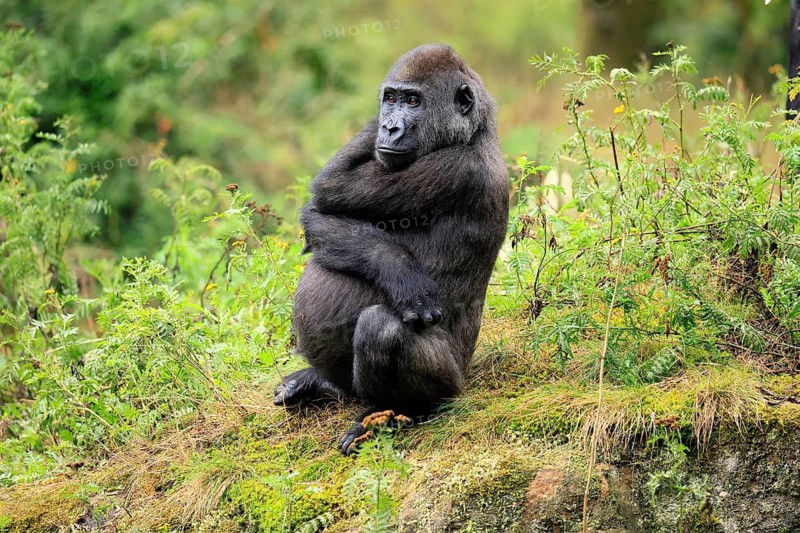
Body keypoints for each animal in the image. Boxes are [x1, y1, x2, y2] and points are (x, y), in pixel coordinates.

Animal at [273, 44, 509, 455]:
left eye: (414, 101)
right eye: (391, 100)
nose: (390, 127)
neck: (475, 132)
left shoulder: (455, 169)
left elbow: (329, 195)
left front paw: (404, 278)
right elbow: (321, 208)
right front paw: (400, 272)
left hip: (453, 383)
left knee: (381, 328)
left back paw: (400, 413)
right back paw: (322, 383)